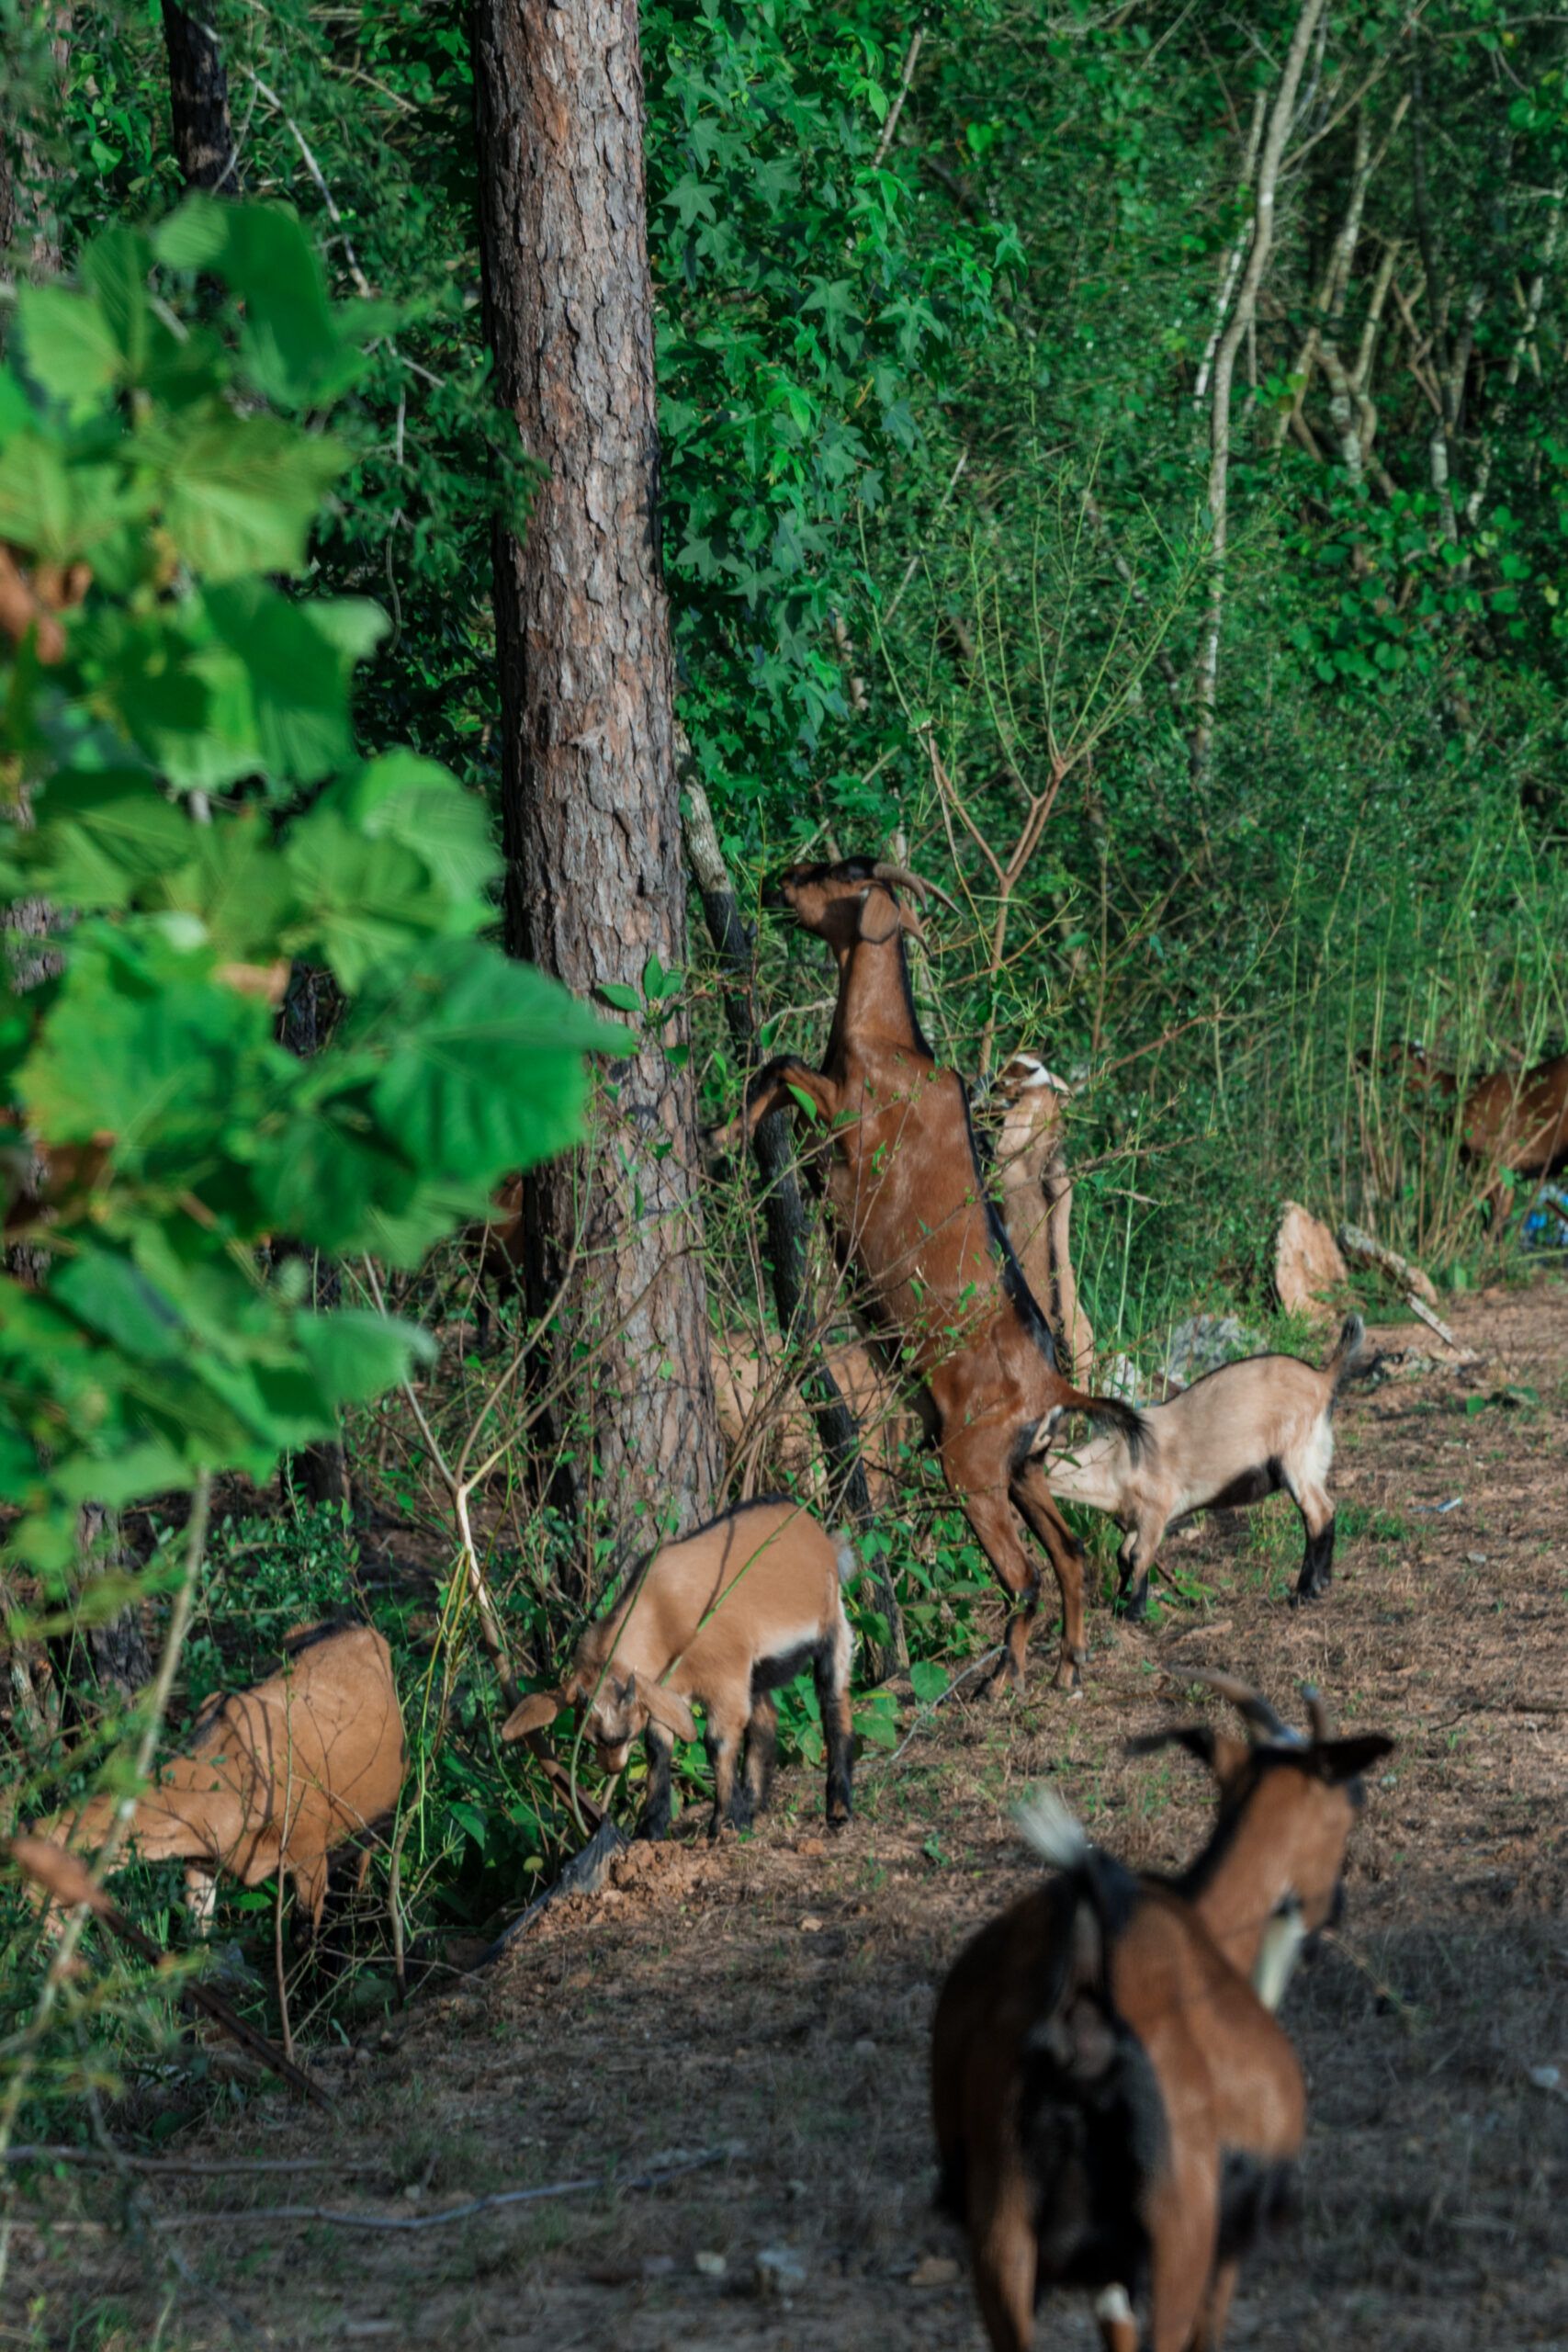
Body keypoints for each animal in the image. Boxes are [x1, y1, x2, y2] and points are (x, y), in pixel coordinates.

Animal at [26, 1621, 405, 1932]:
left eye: (43, 1888)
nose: (34, 1952)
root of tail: (362, 1629)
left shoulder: (309, 1852)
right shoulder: (200, 1861)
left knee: (366, 1856)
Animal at [503, 1497, 854, 1840]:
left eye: (623, 1735)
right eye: (588, 1738)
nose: (613, 1768)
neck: (661, 1612)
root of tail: (819, 1535)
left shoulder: (726, 1680)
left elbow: (717, 1742)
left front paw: (725, 1823)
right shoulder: (667, 1690)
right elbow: (658, 1746)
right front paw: (651, 1826)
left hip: (833, 1623)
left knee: (834, 1702)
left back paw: (838, 1809)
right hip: (758, 1674)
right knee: (766, 1717)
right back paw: (754, 1804)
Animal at [931, 1672, 1393, 2352]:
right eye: (1354, 1798)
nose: (1331, 1906)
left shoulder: (1110, 2272)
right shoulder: (1228, 2231)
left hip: (1001, 2231)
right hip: (1181, 2233)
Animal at [1042, 1313, 1369, 1619]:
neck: (1114, 1460)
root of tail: (1323, 1379)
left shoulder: (1156, 1510)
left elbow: (1139, 1556)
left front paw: (1134, 1612)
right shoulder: (1134, 1517)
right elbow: (1122, 1556)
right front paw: (1118, 1606)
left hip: (1297, 1457)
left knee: (1317, 1513)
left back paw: (1304, 1592)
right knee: (1327, 1510)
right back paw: (1323, 1581)